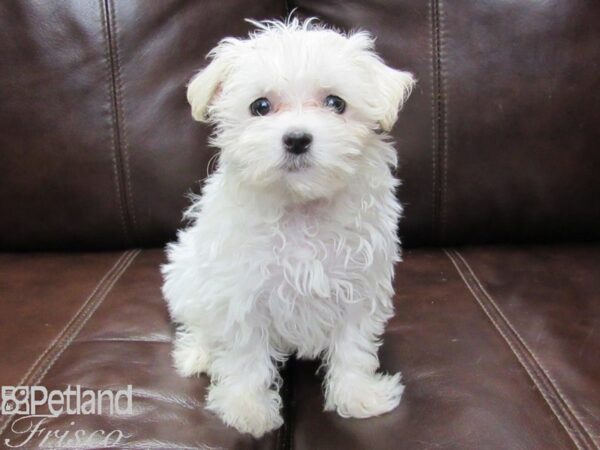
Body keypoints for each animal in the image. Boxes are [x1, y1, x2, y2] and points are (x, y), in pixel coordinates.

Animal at [162, 18, 414, 440]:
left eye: (335, 103)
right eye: (261, 106)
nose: (297, 139)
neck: (301, 207)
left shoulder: (360, 285)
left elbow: (353, 346)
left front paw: (358, 396)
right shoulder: (242, 290)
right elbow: (245, 354)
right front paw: (247, 409)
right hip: (185, 274)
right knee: (197, 321)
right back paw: (199, 353)